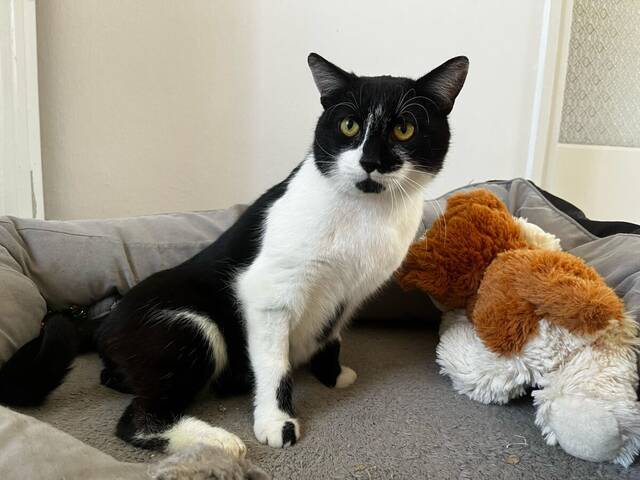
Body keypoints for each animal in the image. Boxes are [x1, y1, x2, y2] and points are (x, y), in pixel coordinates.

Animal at [0, 53, 468, 458]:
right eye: (349, 125)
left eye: (404, 129)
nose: (370, 161)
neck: (366, 214)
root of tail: (103, 321)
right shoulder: (269, 295)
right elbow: (275, 366)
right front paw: (277, 421)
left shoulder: (351, 294)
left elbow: (331, 335)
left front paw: (333, 374)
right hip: (192, 326)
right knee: (138, 419)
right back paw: (216, 440)